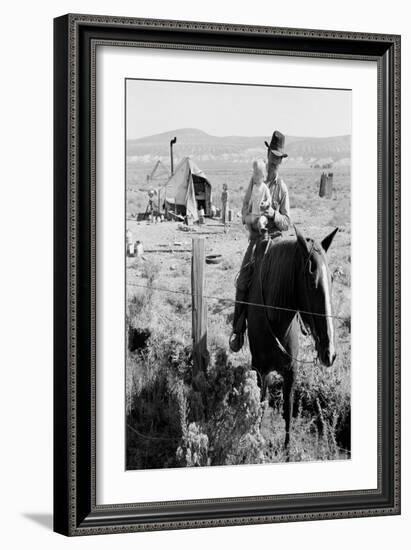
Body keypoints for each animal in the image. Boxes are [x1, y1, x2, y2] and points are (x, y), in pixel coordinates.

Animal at [248, 225, 338, 452]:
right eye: (311, 281)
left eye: (331, 279)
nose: (330, 354)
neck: (276, 319)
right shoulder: (261, 371)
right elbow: (260, 404)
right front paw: (256, 441)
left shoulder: (291, 372)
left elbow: (288, 411)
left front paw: (287, 451)